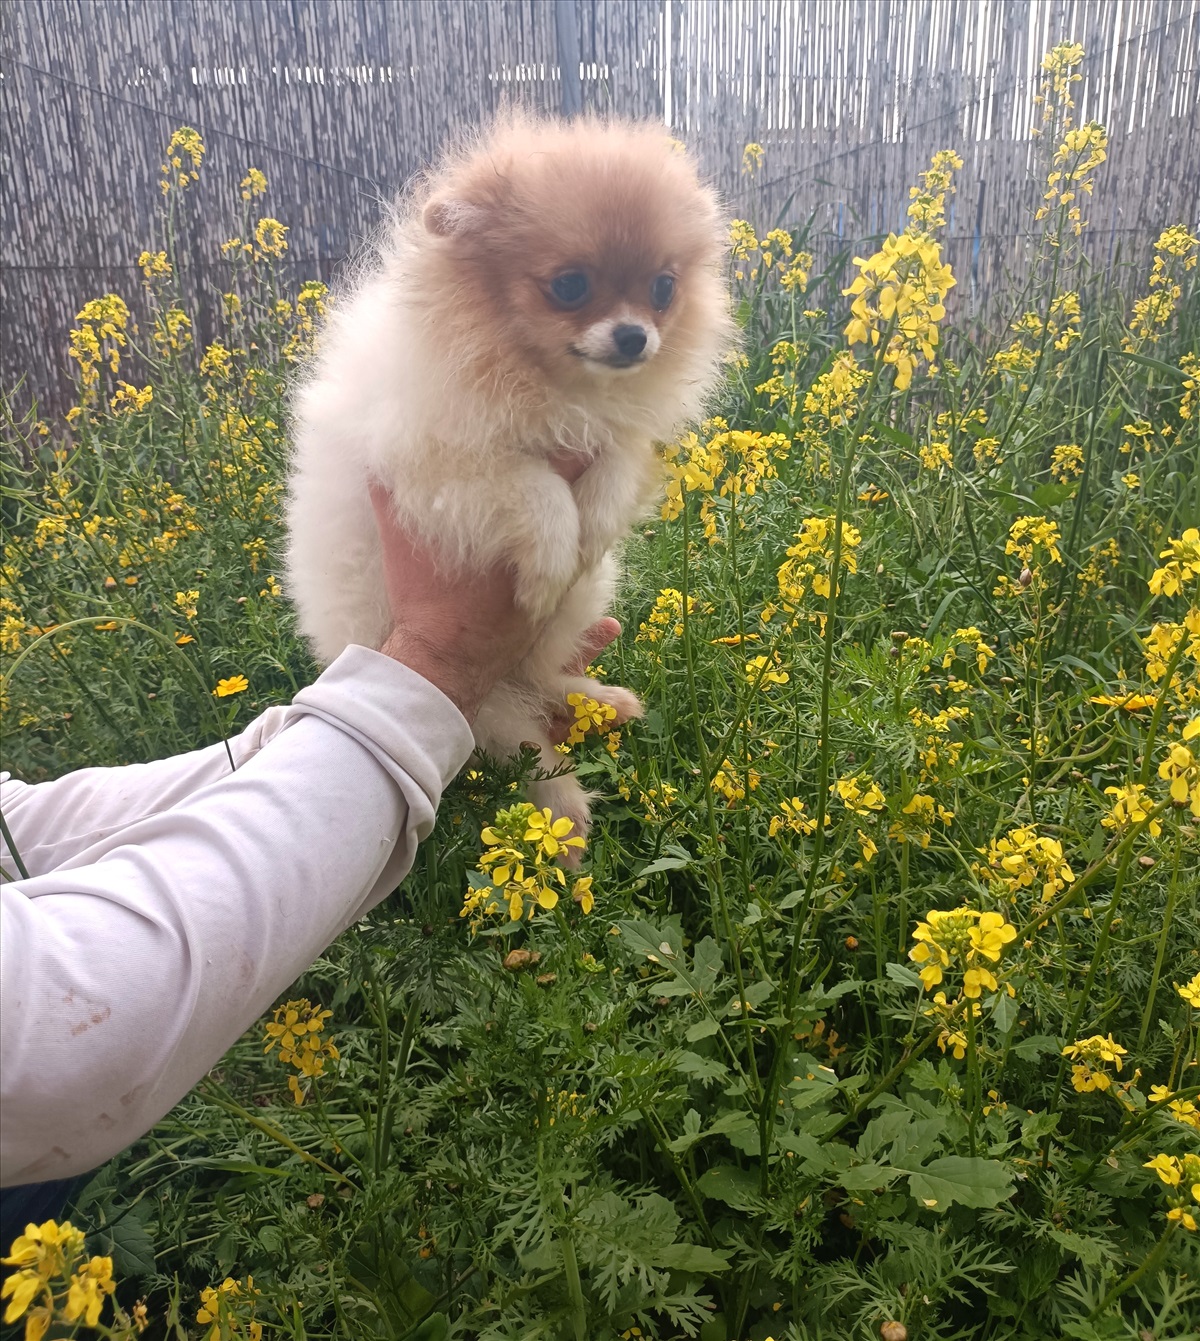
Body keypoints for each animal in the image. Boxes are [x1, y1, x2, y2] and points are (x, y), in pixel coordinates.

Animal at [288, 120, 729, 842]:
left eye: (664, 288)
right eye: (571, 285)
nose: (635, 336)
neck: (537, 377)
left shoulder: (618, 432)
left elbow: (613, 467)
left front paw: (594, 527)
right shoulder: (441, 463)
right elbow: (534, 485)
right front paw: (550, 562)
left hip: (564, 626)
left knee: (546, 679)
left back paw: (603, 700)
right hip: (477, 700)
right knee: (524, 741)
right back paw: (564, 811)